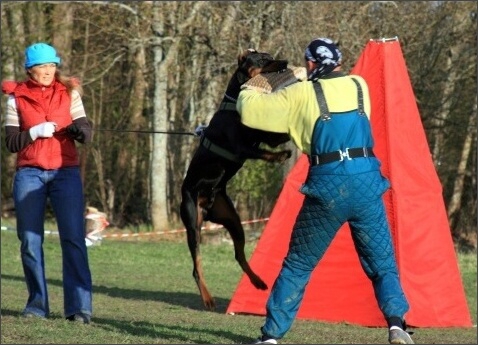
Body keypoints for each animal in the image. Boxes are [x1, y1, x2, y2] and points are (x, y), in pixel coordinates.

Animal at [179, 48, 292, 310]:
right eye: (262, 59)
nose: (285, 61)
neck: (235, 102)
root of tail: (206, 206)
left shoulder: (263, 134)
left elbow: (276, 135)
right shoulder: (242, 148)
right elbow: (264, 151)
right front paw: (281, 156)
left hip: (232, 219)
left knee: (239, 254)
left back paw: (258, 281)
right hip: (192, 222)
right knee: (196, 266)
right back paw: (208, 298)